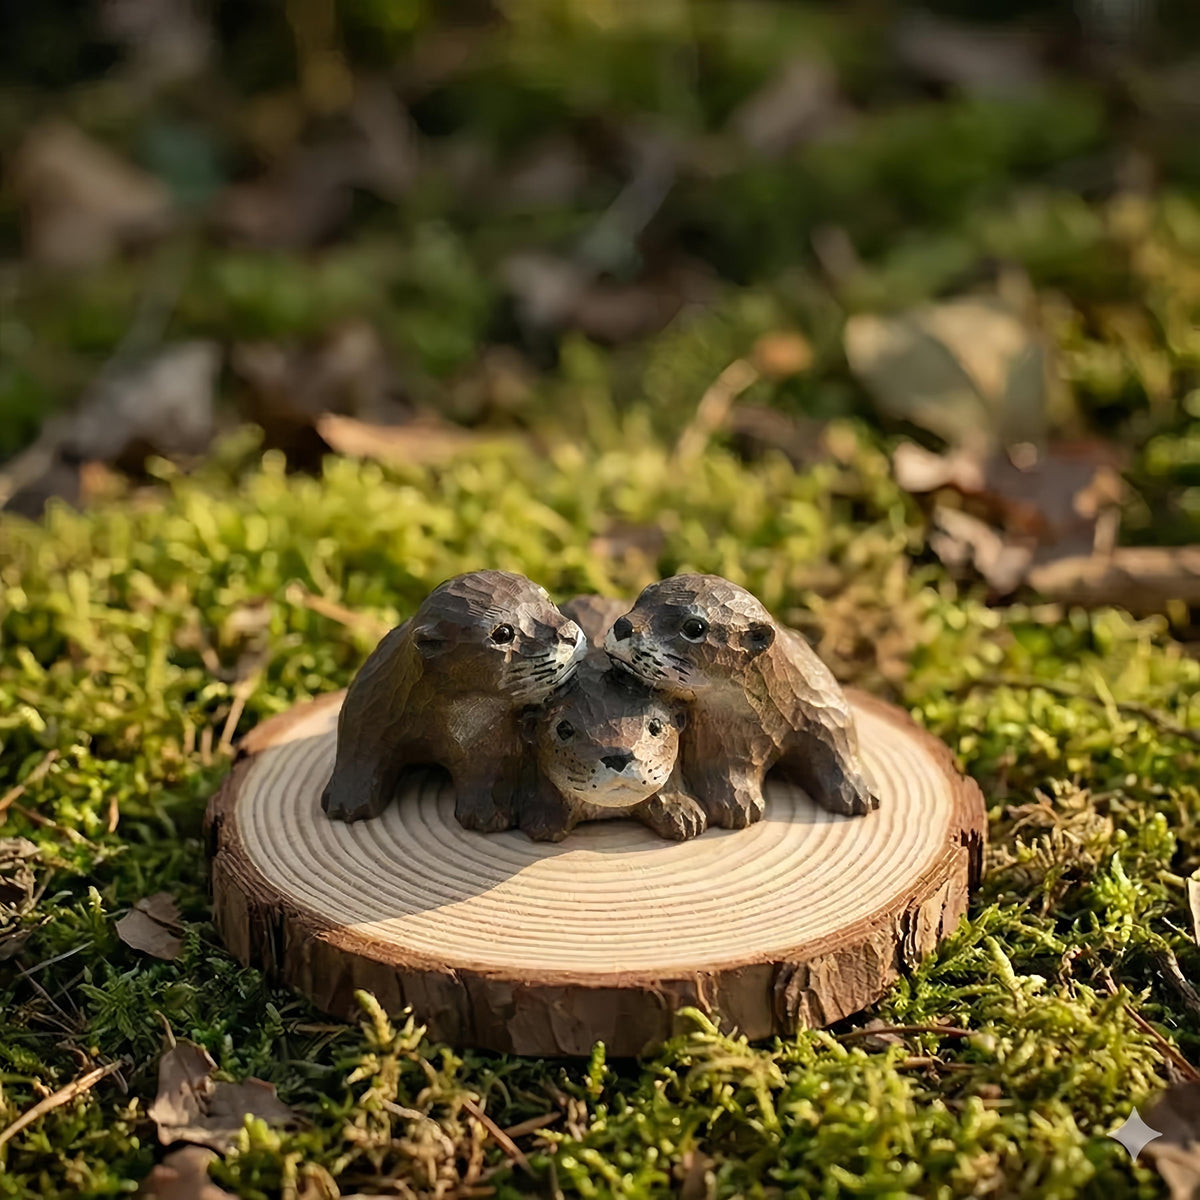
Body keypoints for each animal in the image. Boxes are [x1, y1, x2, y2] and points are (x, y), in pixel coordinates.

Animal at [321, 570, 586, 831]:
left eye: (549, 601)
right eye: (503, 633)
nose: (568, 634)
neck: (429, 714)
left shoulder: (485, 740)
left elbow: (484, 774)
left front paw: (484, 816)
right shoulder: (368, 705)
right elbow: (358, 752)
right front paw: (346, 803)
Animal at [604, 574, 878, 828]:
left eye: (694, 627)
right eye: (641, 598)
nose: (624, 625)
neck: (774, 714)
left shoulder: (822, 704)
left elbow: (839, 744)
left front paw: (857, 790)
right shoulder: (725, 741)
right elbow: (731, 771)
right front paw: (738, 803)